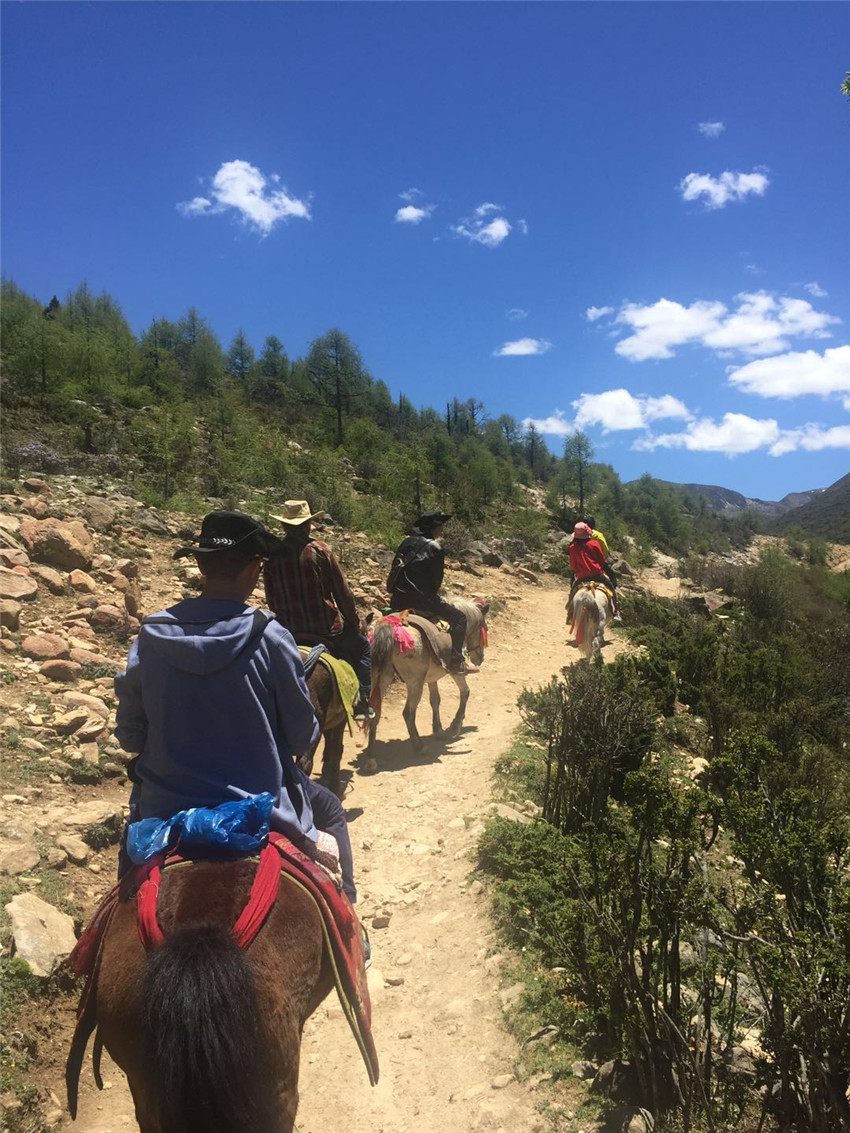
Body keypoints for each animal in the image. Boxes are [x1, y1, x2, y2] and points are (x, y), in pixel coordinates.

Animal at [364, 596, 488, 767]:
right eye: (483, 627)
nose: (480, 658)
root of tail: (388, 627)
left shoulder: (431, 678)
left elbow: (435, 700)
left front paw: (438, 730)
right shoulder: (456, 672)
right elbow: (465, 692)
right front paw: (455, 725)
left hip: (380, 677)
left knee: (375, 712)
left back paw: (371, 758)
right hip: (414, 682)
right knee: (408, 713)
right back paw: (419, 747)